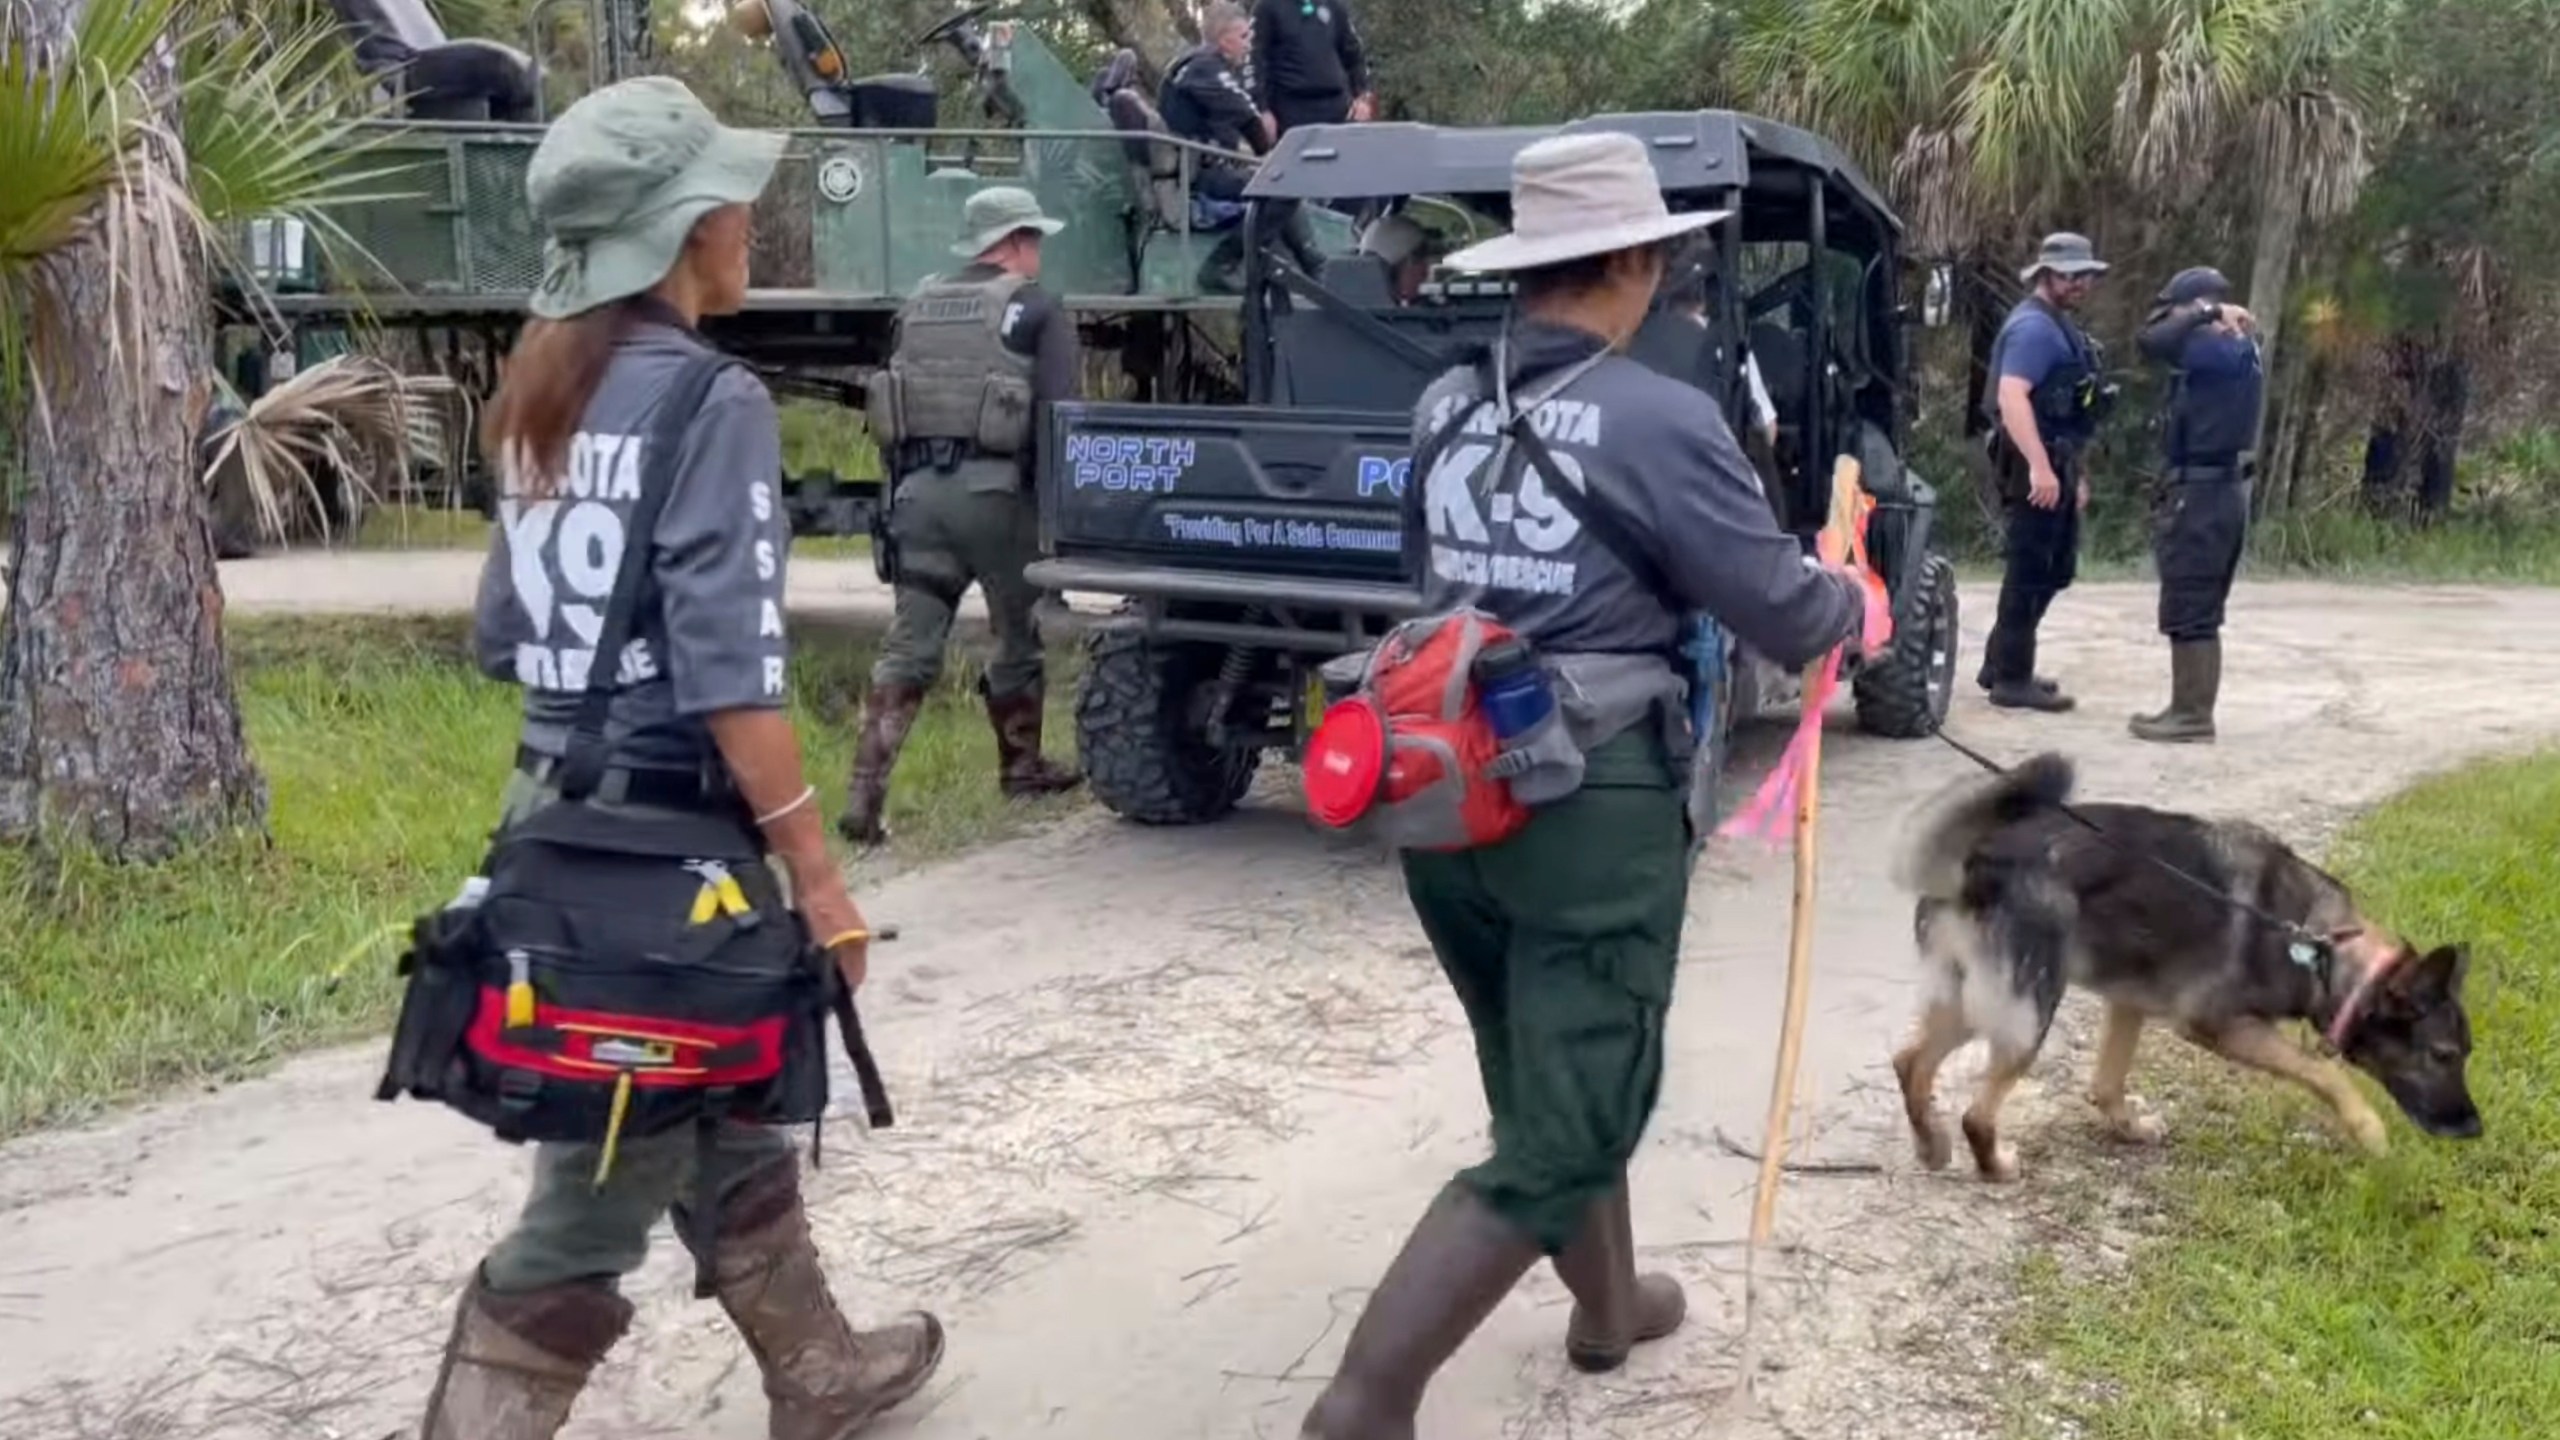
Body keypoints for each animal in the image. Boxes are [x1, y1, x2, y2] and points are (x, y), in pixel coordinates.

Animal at [1894, 753, 2467, 1178]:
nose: (2472, 1128)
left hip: (1974, 999)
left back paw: (1931, 1144)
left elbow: (2107, 1083)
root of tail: (1981, 858)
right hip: (2028, 1010)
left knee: (1909, 1062)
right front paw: (2367, 1128)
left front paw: (2129, 1128)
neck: (2322, 946)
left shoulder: (2128, 1004)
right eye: (2443, 1055)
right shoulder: (2220, 1027)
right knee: (1976, 1114)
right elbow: (2322, 1072)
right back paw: (1992, 1165)